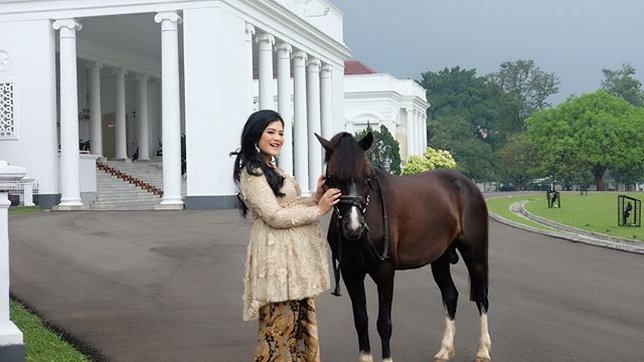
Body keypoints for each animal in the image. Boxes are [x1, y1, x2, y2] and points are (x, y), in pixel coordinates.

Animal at [316, 132, 494, 362]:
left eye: (365, 176)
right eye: (332, 176)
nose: (353, 226)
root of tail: (467, 184)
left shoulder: (385, 272)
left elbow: (384, 323)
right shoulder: (351, 273)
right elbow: (361, 320)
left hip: (475, 253)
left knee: (481, 296)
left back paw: (483, 350)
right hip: (440, 258)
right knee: (450, 295)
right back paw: (445, 350)